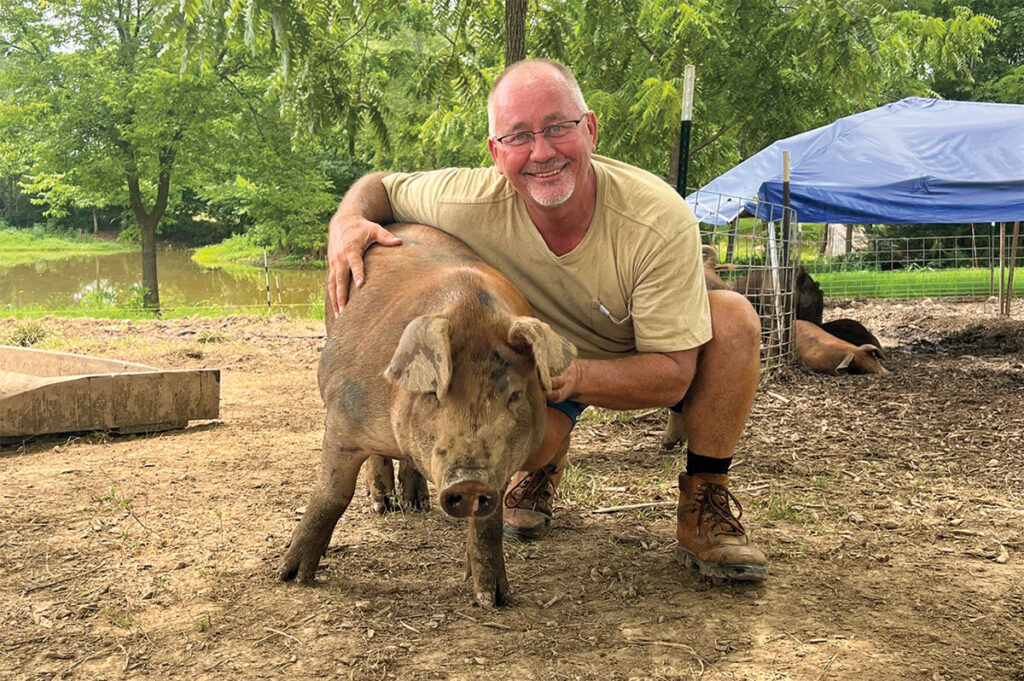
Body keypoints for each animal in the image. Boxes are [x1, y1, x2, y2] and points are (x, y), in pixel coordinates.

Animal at [276, 223, 577, 606]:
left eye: (514, 395)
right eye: (434, 392)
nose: (470, 481)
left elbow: (489, 525)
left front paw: (493, 599)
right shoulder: (342, 416)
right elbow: (333, 493)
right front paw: (290, 577)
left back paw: (416, 503)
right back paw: (383, 506)